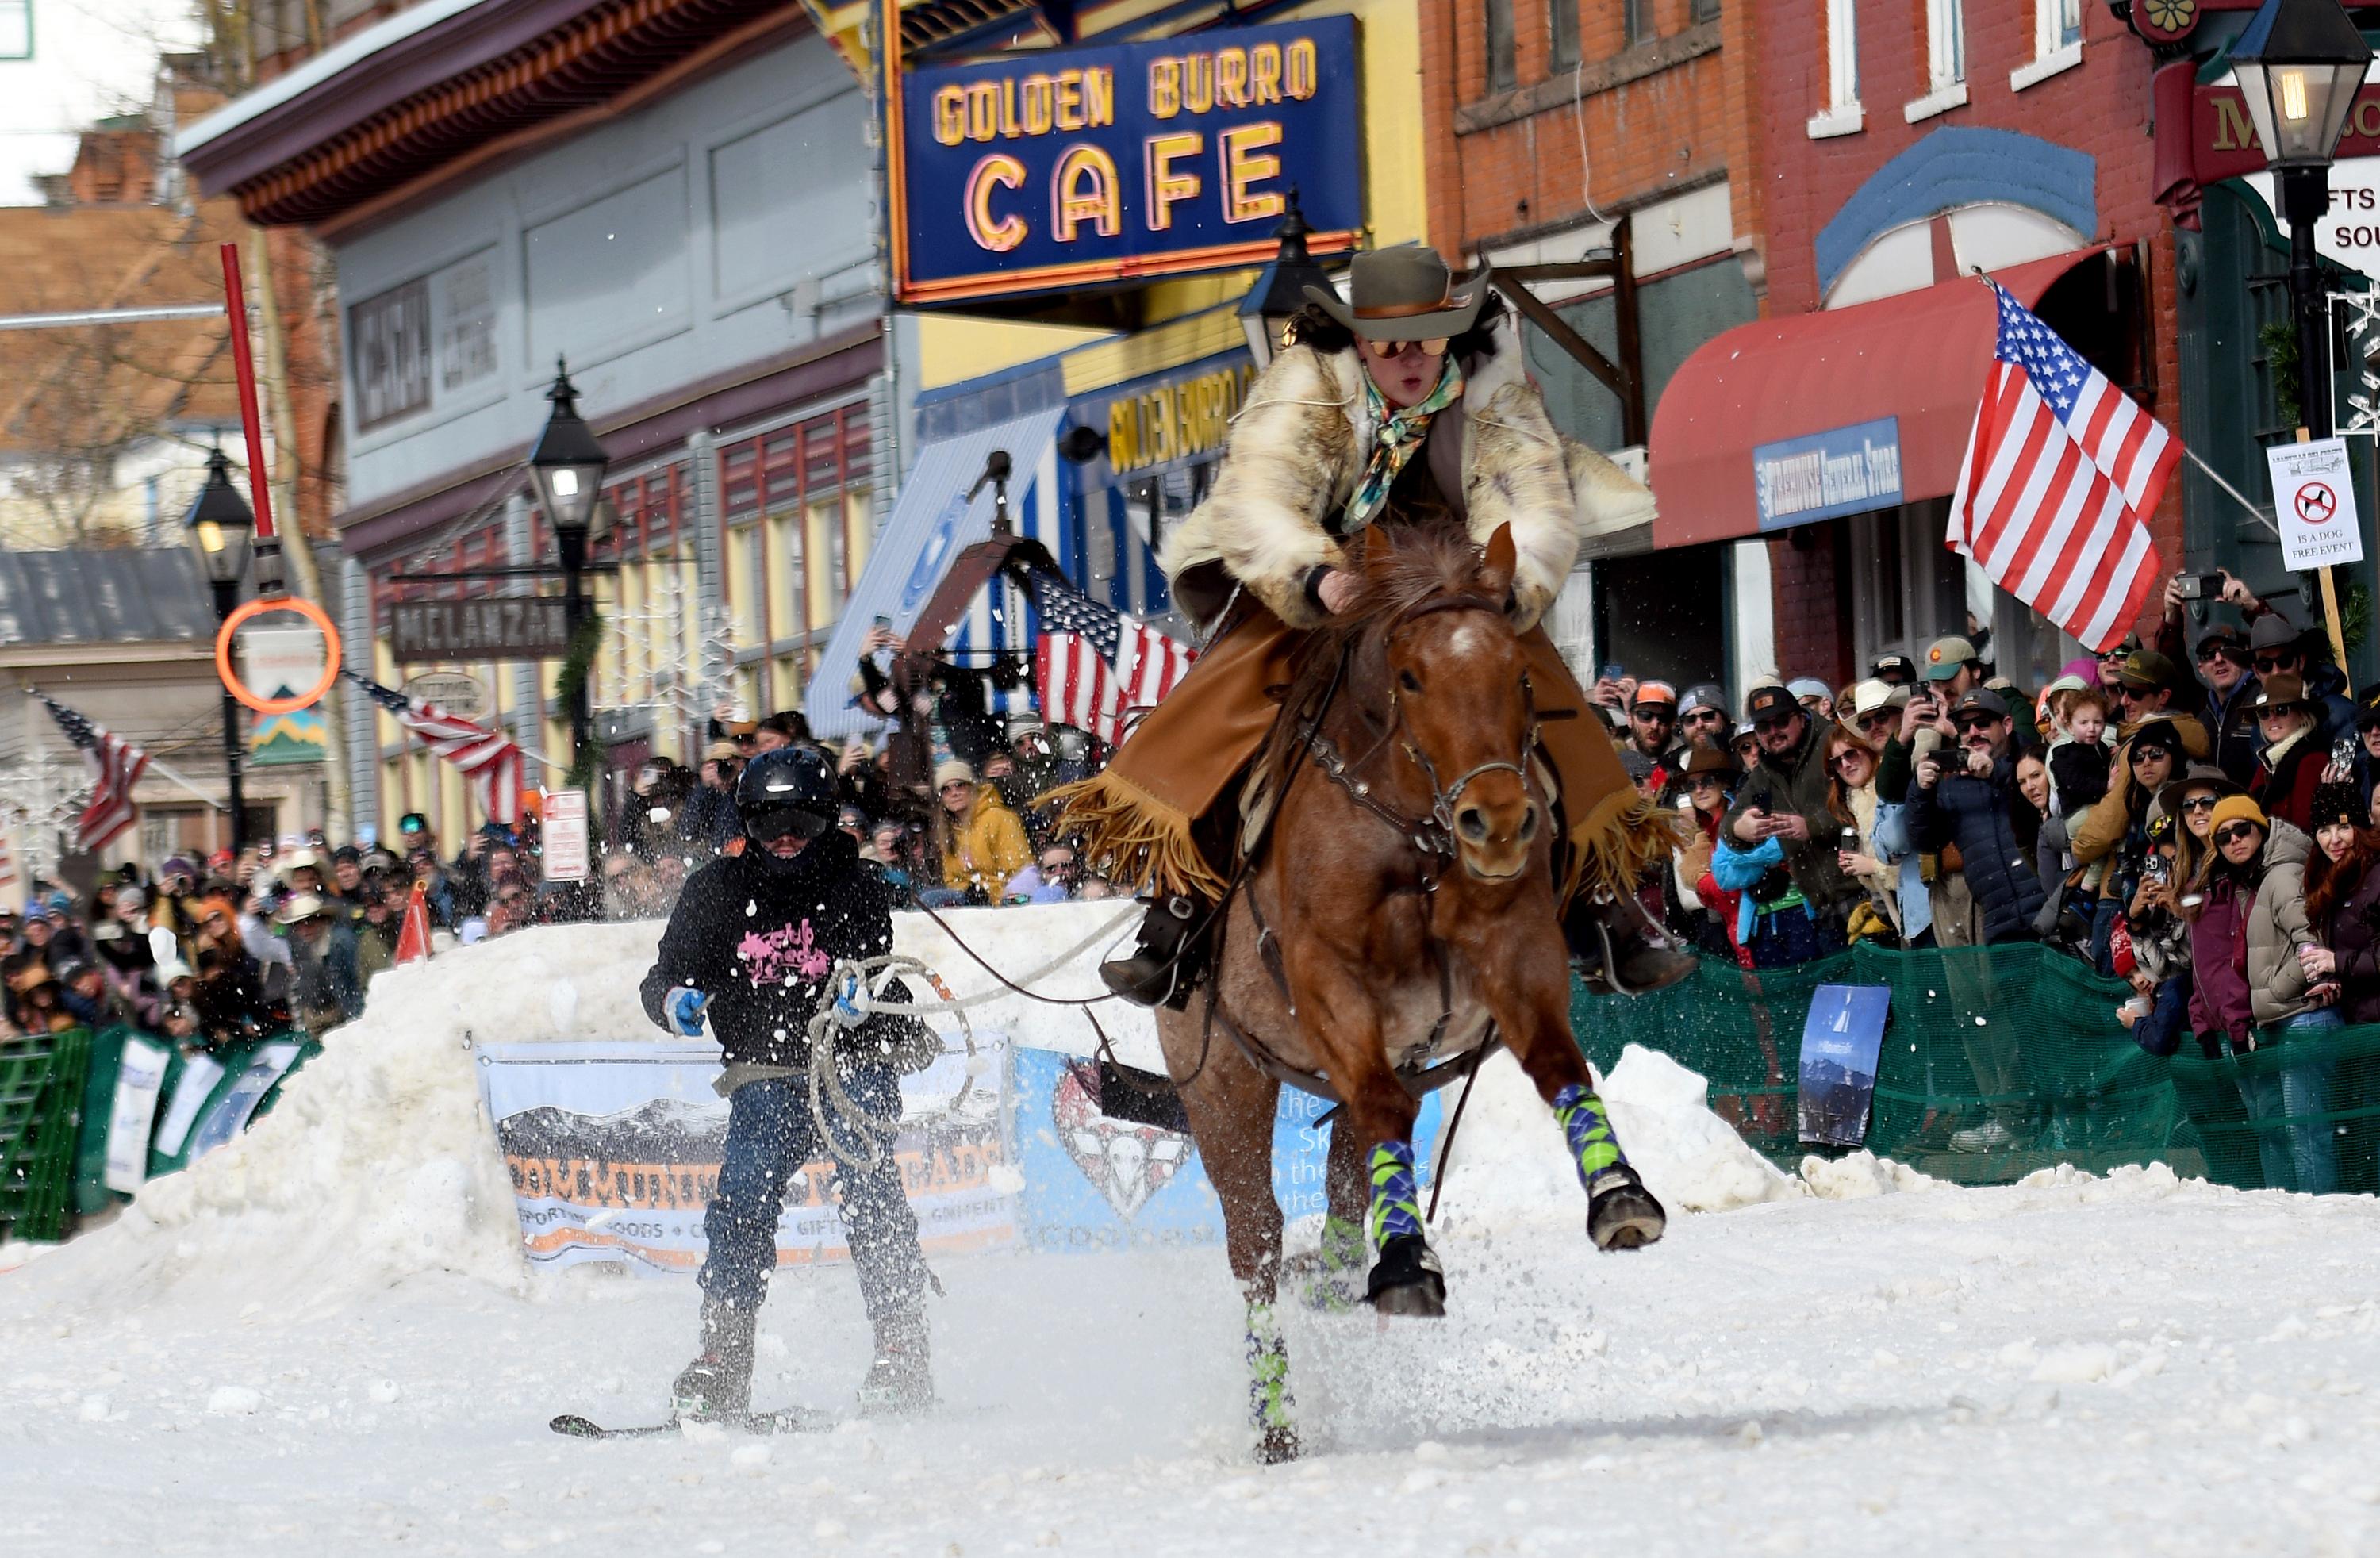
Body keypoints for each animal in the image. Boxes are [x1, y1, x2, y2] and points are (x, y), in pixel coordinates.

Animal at [1152, 520, 1676, 1465]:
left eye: (1521, 675)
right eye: (1410, 677)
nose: (1498, 822)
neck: (1415, 839)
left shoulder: (1516, 957)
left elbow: (1558, 1063)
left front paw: (1619, 1191)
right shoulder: (1330, 984)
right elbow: (1384, 1110)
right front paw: (1405, 1263)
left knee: (1342, 1188)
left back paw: (1334, 1272)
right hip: (1221, 1083)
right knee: (1256, 1243)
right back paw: (1277, 1422)